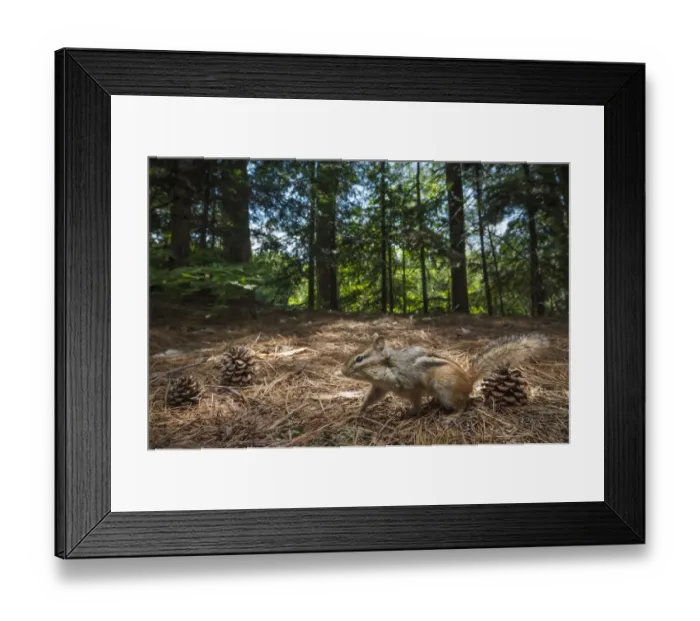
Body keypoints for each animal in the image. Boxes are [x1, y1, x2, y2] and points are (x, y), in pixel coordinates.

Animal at [341, 332, 549, 415]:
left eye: (359, 358)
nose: (342, 371)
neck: (387, 366)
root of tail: (469, 379)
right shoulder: (379, 388)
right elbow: (370, 398)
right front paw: (359, 410)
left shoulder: (411, 387)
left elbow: (416, 401)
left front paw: (411, 413)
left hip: (445, 389)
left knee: (463, 405)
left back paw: (450, 417)